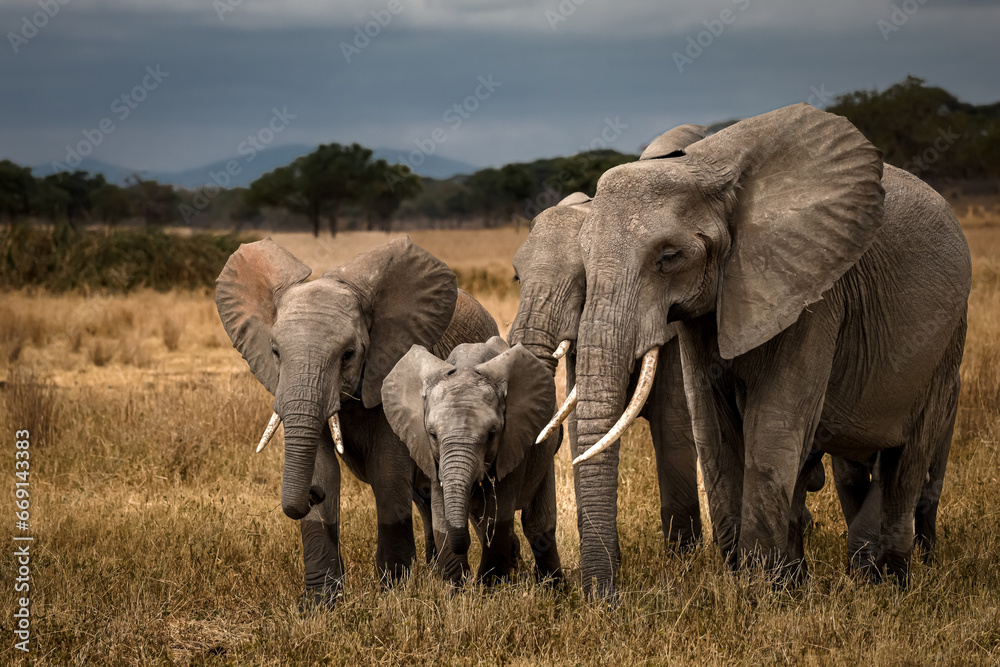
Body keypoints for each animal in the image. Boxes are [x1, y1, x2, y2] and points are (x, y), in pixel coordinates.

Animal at [215, 237, 499, 607]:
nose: (312, 496)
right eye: (275, 352)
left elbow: (386, 472)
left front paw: (393, 595)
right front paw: (319, 605)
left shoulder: (389, 370)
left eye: (348, 355)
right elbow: (322, 466)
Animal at [382, 336, 562, 586]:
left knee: (538, 524)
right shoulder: (428, 452)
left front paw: (490, 588)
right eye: (432, 434)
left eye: (492, 434)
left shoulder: (514, 441)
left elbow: (497, 519)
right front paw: (457, 589)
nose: (470, 581)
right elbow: (441, 517)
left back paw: (554, 588)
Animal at [569, 102, 970, 598]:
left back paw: (890, 586)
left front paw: (759, 593)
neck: (705, 167)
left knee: (908, 460)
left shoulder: (813, 289)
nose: (610, 601)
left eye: (669, 257)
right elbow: (712, 425)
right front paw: (750, 584)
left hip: (947, 343)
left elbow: (774, 422)